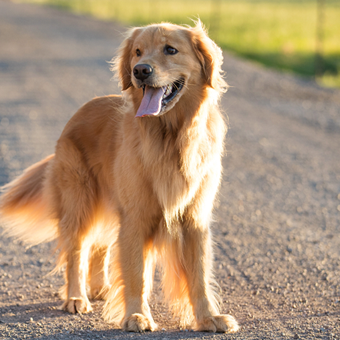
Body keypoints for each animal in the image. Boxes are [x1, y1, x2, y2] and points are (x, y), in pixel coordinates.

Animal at [0, 20, 239, 332]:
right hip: (79, 201)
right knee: (77, 251)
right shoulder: (136, 217)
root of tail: (77, 113)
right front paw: (136, 316)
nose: (140, 70)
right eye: (137, 52)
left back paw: (100, 288)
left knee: (99, 246)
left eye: (170, 50)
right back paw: (76, 297)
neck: (171, 137)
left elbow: (198, 275)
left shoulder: (194, 220)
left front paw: (209, 317)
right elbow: (136, 273)